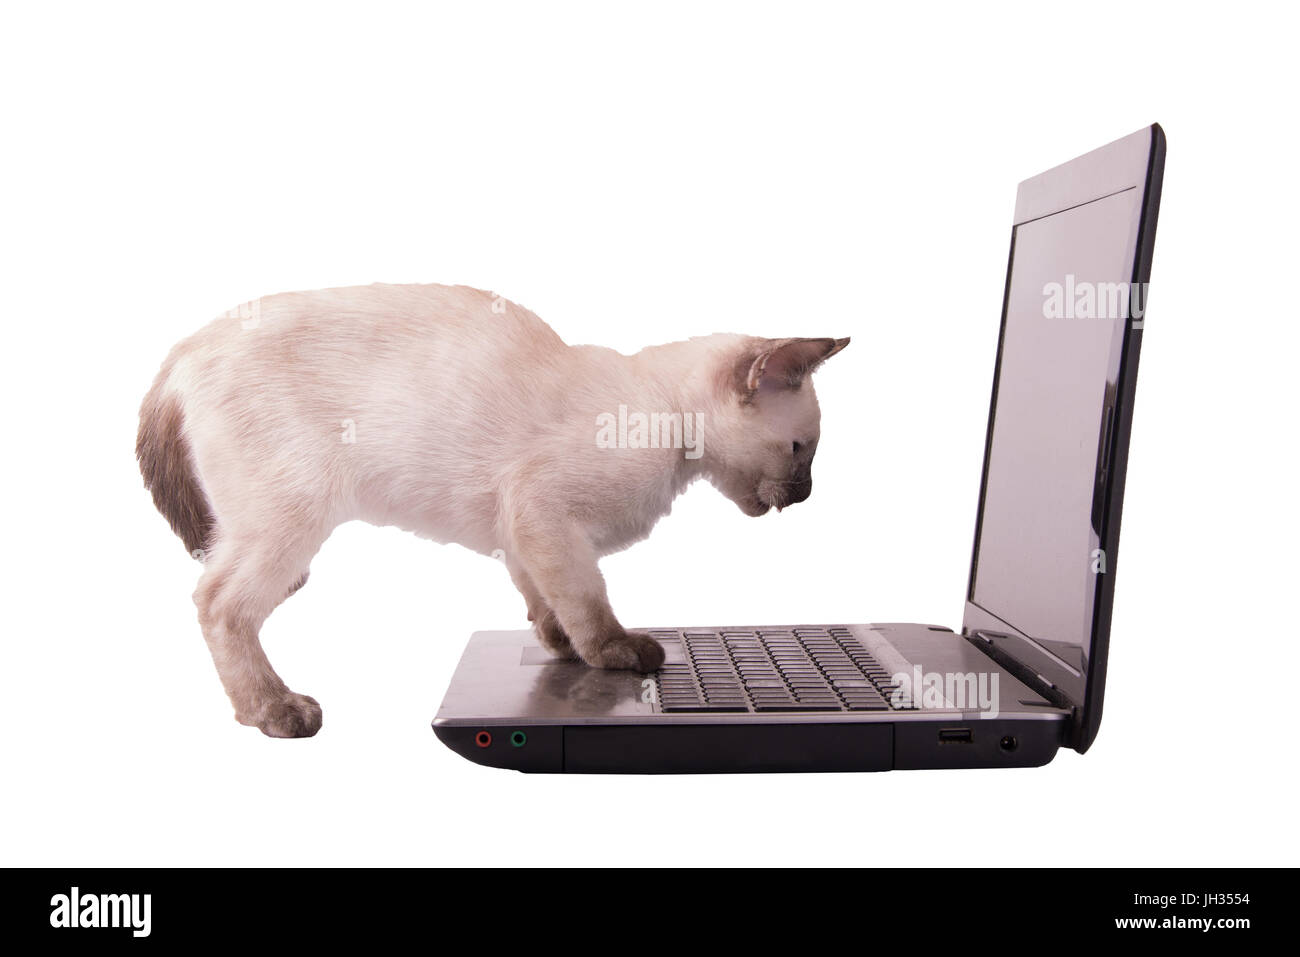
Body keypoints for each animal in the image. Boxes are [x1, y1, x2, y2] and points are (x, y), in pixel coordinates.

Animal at [137, 280, 847, 738]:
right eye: (801, 451)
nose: (807, 494)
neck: (666, 422)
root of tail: (184, 347)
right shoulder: (544, 512)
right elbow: (588, 600)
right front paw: (614, 653)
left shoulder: (522, 529)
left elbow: (546, 602)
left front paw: (561, 651)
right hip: (290, 522)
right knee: (217, 603)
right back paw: (275, 712)